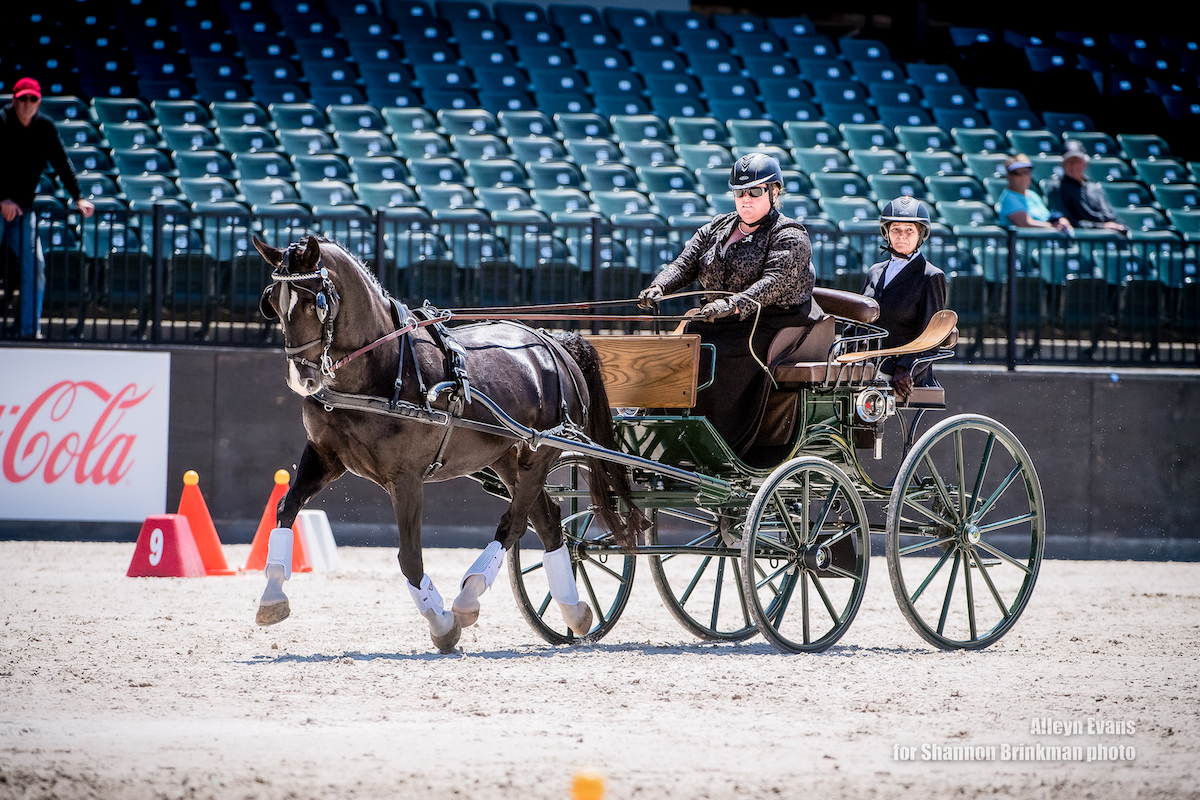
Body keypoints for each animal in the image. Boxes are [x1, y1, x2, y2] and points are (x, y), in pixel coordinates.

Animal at [255, 236, 648, 652]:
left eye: (316, 302)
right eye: (273, 301)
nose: (302, 378)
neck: (382, 368)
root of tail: (554, 342)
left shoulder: (406, 478)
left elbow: (411, 557)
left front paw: (442, 624)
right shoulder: (324, 456)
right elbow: (285, 508)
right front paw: (272, 596)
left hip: (541, 450)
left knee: (515, 522)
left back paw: (470, 596)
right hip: (507, 457)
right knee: (547, 520)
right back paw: (575, 612)